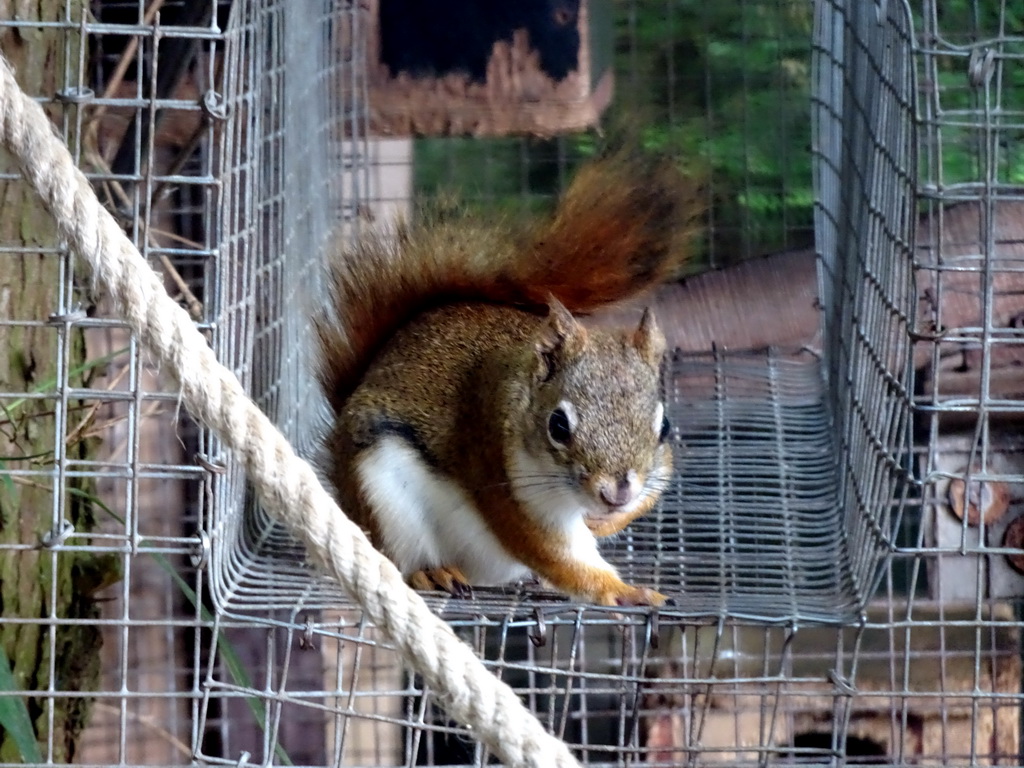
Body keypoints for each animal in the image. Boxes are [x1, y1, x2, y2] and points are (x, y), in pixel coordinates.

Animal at [317, 148, 704, 606]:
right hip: (382, 495)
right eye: (558, 425)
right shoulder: (497, 468)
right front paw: (624, 591)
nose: (615, 494)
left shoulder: (656, 470)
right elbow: (552, 551)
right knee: (401, 556)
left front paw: (604, 523)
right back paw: (432, 572)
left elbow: (644, 497)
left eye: (665, 426)